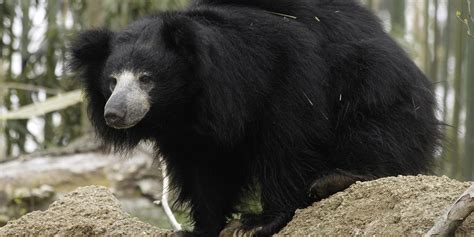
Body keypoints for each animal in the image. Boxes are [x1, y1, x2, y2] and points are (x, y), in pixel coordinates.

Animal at [70, 0, 440, 236]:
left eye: (146, 78)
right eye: (111, 81)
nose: (114, 113)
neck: (189, 102)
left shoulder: (286, 76)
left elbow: (287, 143)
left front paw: (255, 224)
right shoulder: (191, 131)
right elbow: (204, 171)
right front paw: (200, 229)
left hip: (373, 81)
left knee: (377, 128)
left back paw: (340, 178)